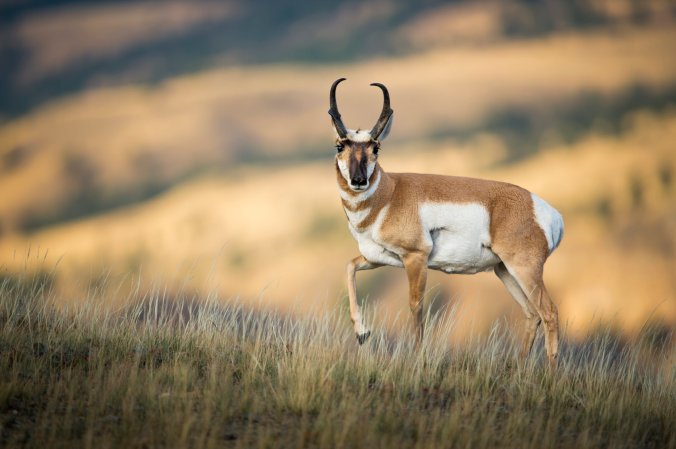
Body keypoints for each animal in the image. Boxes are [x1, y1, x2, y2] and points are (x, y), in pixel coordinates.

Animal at [328, 79, 564, 368]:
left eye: (376, 148)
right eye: (340, 146)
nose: (359, 181)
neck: (390, 193)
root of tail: (546, 210)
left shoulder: (415, 258)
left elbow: (416, 304)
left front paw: (418, 357)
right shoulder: (379, 257)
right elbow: (349, 266)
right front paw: (362, 333)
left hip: (525, 269)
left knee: (549, 312)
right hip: (505, 271)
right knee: (532, 314)